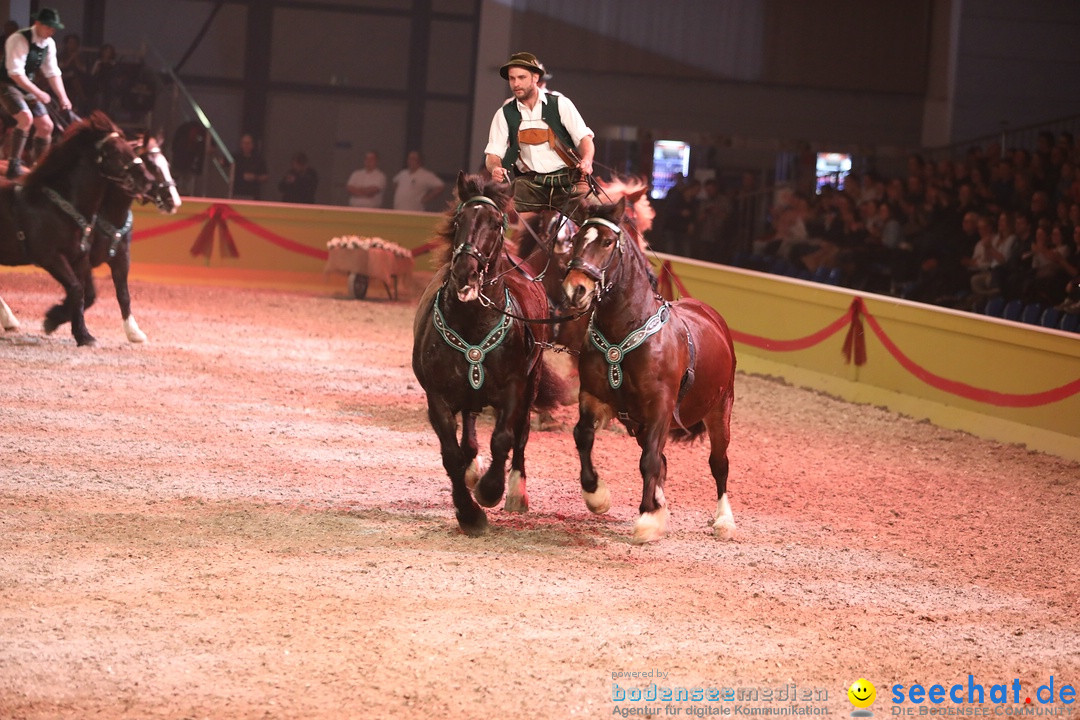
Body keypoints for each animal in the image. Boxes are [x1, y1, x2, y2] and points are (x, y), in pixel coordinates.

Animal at [0, 112, 154, 345]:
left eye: (130, 147)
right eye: (115, 152)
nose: (146, 180)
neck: (61, 207)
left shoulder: (80, 257)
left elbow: (86, 294)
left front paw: (80, 332)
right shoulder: (50, 257)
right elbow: (75, 289)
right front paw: (54, 320)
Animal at [38, 134, 183, 343]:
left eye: (166, 164)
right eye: (151, 165)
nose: (174, 201)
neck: (106, 214)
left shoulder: (121, 259)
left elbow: (123, 295)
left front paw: (133, 331)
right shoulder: (81, 259)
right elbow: (87, 294)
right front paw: (55, 317)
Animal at [412, 172, 561, 535]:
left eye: (496, 223)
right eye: (459, 220)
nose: (465, 272)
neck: (472, 324)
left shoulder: (513, 389)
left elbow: (503, 438)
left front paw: (491, 491)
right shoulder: (437, 397)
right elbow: (451, 454)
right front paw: (469, 513)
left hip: (532, 382)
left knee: (521, 434)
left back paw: (517, 492)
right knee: (469, 432)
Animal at [561, 197, 738, 546]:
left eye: (607, 242)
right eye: (575, 239)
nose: (576, 290)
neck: (624, 333)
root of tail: (710, 314)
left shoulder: (660, 407)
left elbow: (650, 461)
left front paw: (645, 519)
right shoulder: (593, 396)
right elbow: (583, 436)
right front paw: (597, 495)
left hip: (719, 408)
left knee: (718, 463)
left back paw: (723, 520)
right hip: (640, 423)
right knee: (663, 461)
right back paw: (660, 506)